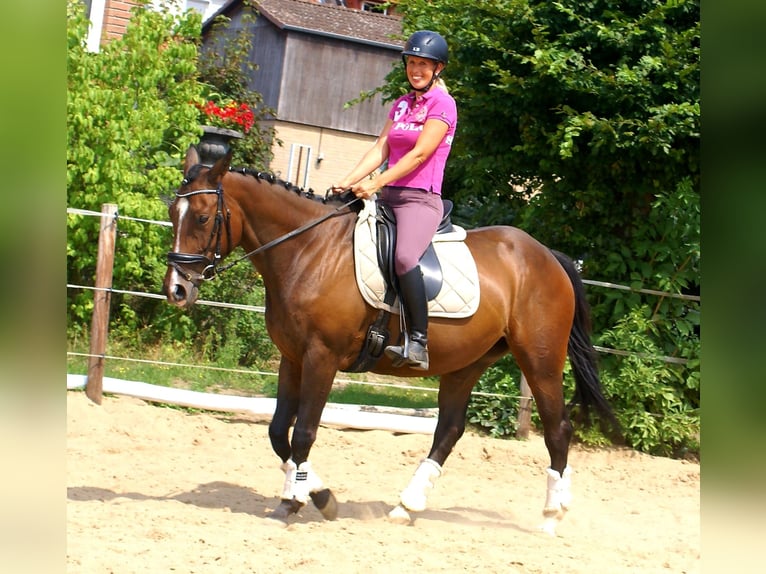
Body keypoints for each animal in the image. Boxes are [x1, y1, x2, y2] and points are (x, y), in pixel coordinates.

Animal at [163, 146, 618, 534]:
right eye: (172, 211)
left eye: (202, 217)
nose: (176, 290)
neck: (308, 249)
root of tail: (547, 256)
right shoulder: (291, 357)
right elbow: (279, 432)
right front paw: (315, 493)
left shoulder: (321, 358)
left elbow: (304, 431)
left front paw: (302, 501)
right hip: (467, 362)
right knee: (449, 430)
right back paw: (406, 506)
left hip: (539, 360)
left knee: (557, 429)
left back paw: (551, 515)